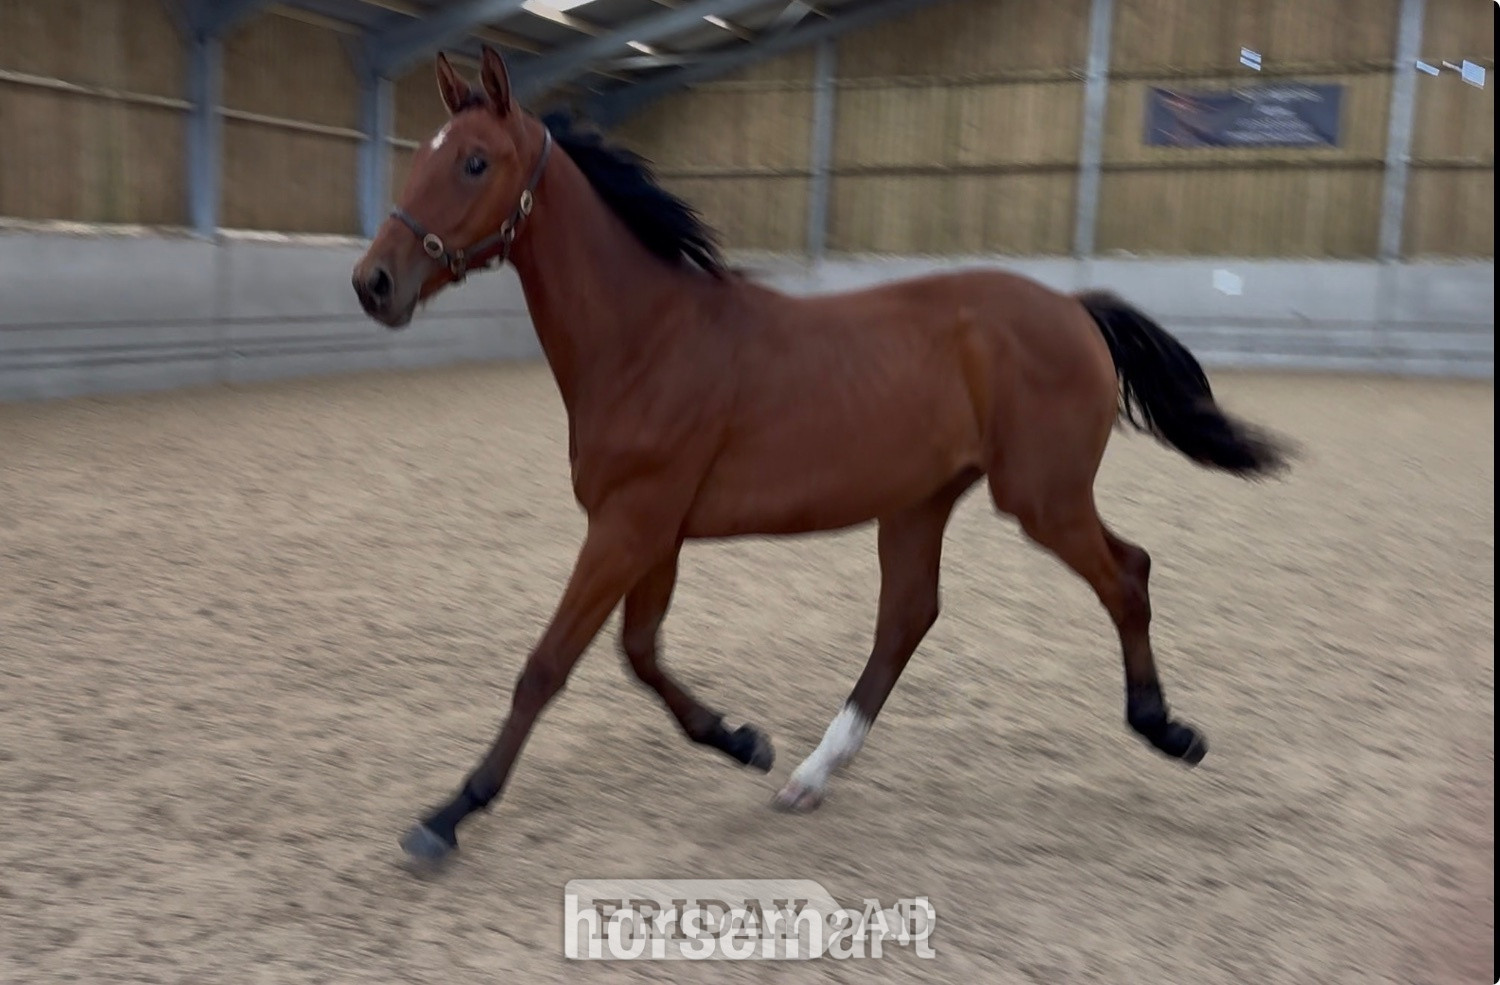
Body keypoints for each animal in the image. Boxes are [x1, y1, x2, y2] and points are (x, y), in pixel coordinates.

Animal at [351, 45, 1292, 863]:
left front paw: (448, 813)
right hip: (920, 500)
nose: (373, 283)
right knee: (907, 618)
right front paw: (741, 739)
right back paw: (808, 773)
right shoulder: (654, 531)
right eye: (421, 158)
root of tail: (1072, 308)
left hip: (1041, 496)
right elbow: (641, 652)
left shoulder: (630, 522)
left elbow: (548, 665)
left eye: (474, 163)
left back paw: (1165, 726)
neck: (647, 338)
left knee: (1125, 572)